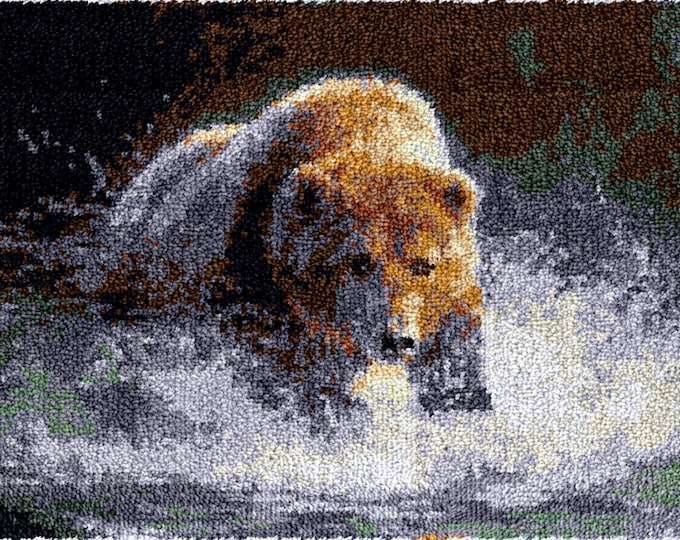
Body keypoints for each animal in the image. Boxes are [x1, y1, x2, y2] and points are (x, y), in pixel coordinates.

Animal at [85, 74, 491, 429]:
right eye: (360, 262)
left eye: (425, 264)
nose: (396, 338)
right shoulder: (256, 276)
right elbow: (283, 366)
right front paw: (338, 415)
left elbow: (454, 343)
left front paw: (460, 400)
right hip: (145, 291)